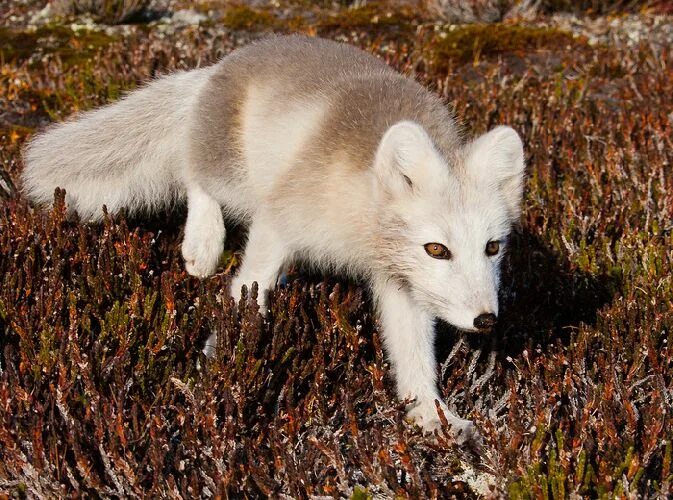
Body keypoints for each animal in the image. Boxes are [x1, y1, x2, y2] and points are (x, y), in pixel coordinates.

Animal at [22, 34, 524, 442]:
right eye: (437, 249)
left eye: (492, 247)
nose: (485, 320)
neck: (360, 224)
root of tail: (220, 65)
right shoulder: (279, 220)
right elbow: (250, 286)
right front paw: (223, 362)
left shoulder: (400, 281)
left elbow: (415, 355)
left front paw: (433, 415)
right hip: (234, 175)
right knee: (193, 173)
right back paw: (202, 245)